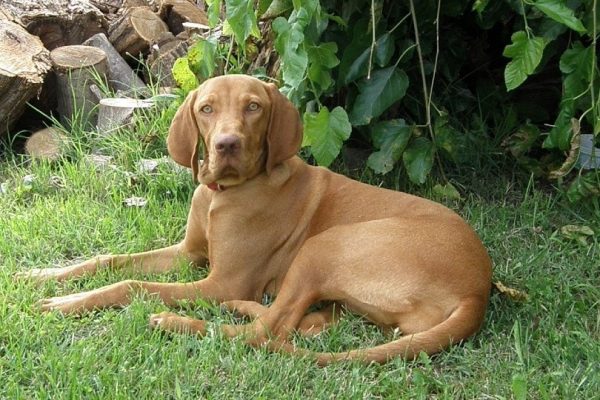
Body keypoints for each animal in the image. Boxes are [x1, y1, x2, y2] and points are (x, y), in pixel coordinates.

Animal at [22, 73, 492, 364]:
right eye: (207, 109)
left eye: (253, 108)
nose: (227, 144)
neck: (223, 194)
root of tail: (478, 289)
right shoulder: (188, 253)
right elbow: (110, 261)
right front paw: (42, 275)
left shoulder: (221, 280)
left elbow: (131, 284)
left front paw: (66, 303)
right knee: (303, 324)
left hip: (325, 245)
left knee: (265, 333)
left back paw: (179, 321)